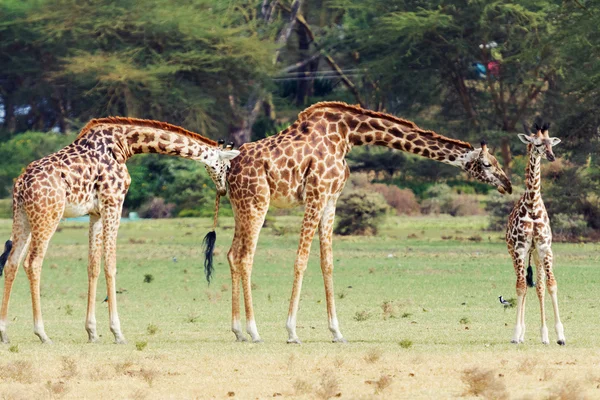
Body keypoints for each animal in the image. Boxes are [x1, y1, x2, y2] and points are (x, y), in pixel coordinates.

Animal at [0, 116, 239, 344]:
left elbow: (93, 266)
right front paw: (117, 333)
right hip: (48, 216)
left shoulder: (95, 212)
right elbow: (110, 265)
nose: (223, 189)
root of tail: (21, 183)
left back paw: (4, 333)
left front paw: (92, 332)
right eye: (226, 167)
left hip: (22, 216)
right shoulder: (114, 201)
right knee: (32, 263)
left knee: (12, 263)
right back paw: (42, 334)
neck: (124, 145)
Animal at [205, 101, 510, 342]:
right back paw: (254, 331)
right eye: (487, 164)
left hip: (241, 205)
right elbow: (301, 259)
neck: (348, 134)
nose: (507, 184)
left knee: (232, 254)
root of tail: (229, 169)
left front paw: (337, 332)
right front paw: (292, 331)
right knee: (246, 256)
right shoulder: (316, 194)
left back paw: (238, 331)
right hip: (257, 201)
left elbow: (327, 262)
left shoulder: (330, 199)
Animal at [504, 121, 564, 344]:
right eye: (537, 143)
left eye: (551, 143)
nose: (552, 156)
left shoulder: (545, 248)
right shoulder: (520, 248)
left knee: (538, 287)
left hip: (536, 255)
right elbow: (521, 287)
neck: (532, 204)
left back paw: (544, 335)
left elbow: (550, 285)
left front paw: (559, 335)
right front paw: (516, 334)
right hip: (515, 254)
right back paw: (520, 334)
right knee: (520, 284)